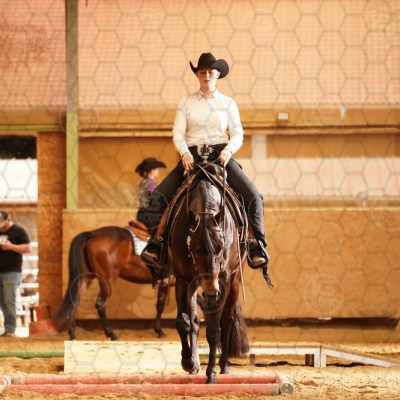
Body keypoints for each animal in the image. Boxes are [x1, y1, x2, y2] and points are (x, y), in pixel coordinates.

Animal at [169, 163, 250, 384]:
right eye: (195, 248)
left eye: (221, 247)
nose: (211, 292)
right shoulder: (183, 279)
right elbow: (183, 322)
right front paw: (188, 362)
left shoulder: (222, 282)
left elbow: (214, 329)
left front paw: (211, 372)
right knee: (194, 320)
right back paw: (195, 364)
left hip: (234, 282)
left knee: (226, 321)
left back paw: (224, 367)